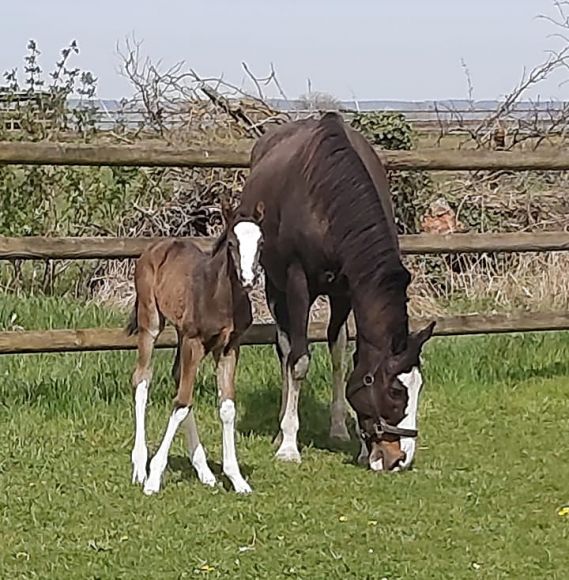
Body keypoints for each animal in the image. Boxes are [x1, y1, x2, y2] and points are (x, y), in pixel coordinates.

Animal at [126, 201, 264, 494]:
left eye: (260, 241)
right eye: (232, 243)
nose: (248, 279)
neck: (220, 296)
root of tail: (155, 247)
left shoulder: (229, 347)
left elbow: (226, 407)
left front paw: (236, 478)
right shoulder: (195, 340)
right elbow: (181, 404)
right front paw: (154, 477)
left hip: (181, 334)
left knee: (178, 377)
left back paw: (205, 472)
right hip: (151, 322)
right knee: (142, 379)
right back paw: (140, 466)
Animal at [236, 113, 434, 472]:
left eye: (418, 387)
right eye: (396, 392)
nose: (400, 459)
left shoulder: (346, 289)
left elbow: (341, 354)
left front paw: (352, 439)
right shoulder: (297, 281)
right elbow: (299, 361)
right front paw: (289, 446)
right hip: (275, 285)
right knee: (285, 348)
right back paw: (280, 429)